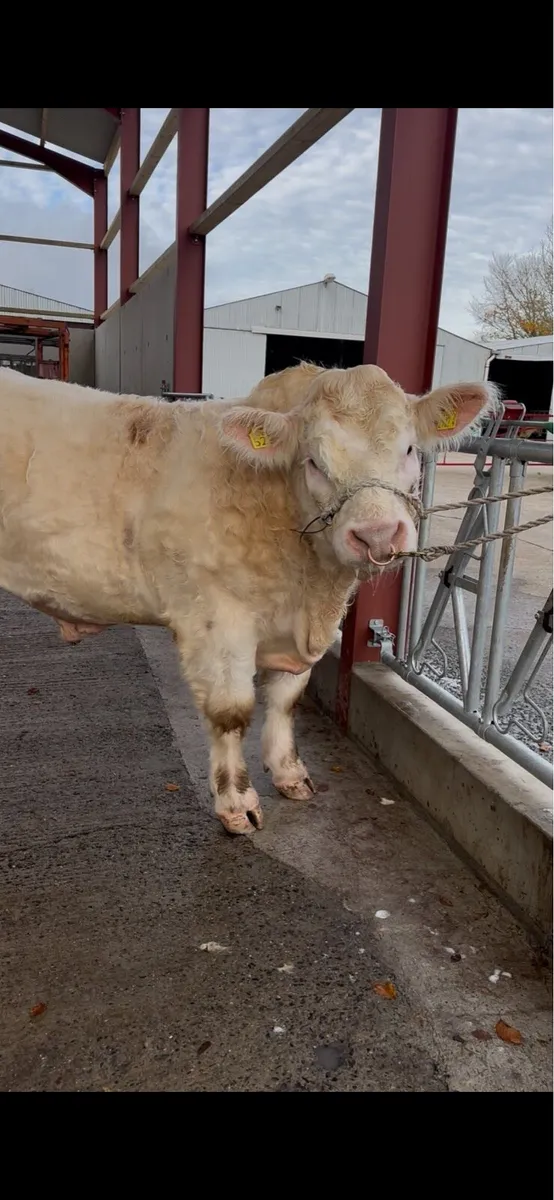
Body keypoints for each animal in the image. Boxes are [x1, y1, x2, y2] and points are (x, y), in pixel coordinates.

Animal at [0, 363, 496, 835]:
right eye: (314, 462)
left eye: (409, 450)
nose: (376, 534)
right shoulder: (216, 618)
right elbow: (232, 713)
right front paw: (237, 804)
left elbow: (285, 698)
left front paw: (289, 773)